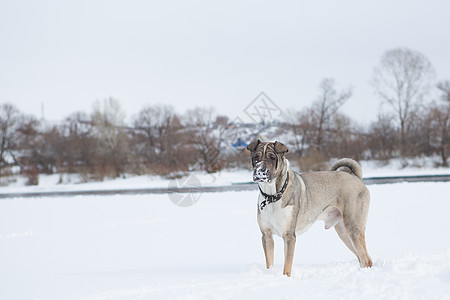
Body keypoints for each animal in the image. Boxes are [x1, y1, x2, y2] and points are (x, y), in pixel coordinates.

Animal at [246, 140, 372, 276]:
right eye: (256, 157)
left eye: (272, 157)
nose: (260, 172)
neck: (272, 196)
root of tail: (355, 176)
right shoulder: (267, 236)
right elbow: (269, 263)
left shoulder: (289, 236)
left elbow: (286, 268)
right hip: (343, 232)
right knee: (362, 257)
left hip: (353, 227)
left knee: (365, 259)